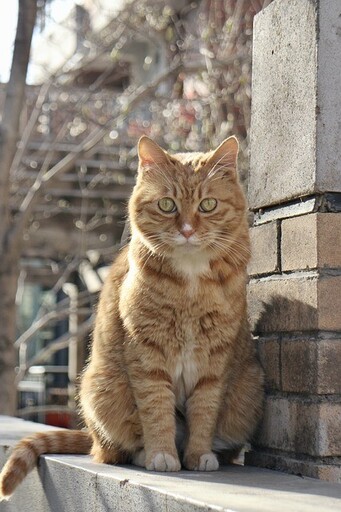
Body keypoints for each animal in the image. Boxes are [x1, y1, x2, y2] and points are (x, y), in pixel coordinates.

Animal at [0, 136, 262, 500]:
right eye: (167, 205)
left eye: (208, 204)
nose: (187, 230)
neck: (191, 281)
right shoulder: (147, 353)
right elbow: (156, 409)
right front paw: (162, 455)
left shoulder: (214, 357)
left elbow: (205, 409)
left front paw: (198, 455)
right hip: (101, 388)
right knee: (110, 450)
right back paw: (140, 453)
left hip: (247, 394)